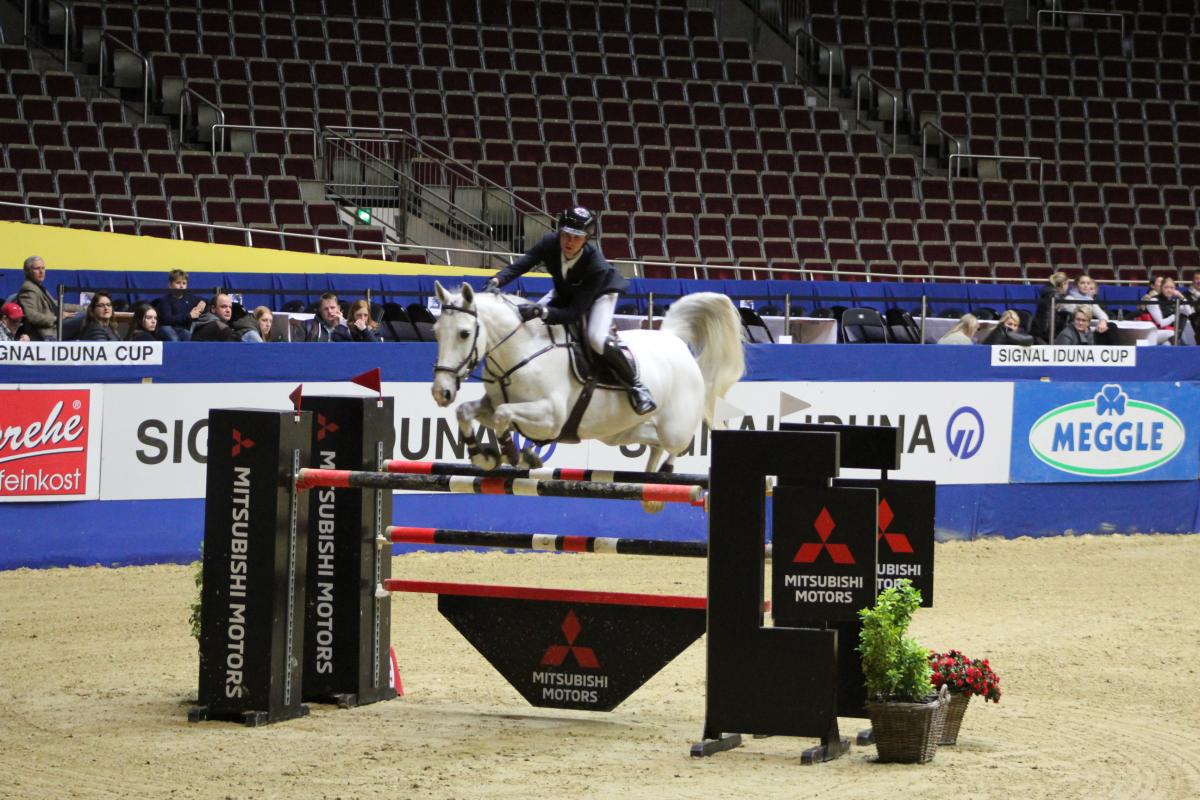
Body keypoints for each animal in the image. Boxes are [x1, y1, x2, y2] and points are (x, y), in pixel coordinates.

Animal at [432, 278, 739, 494]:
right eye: (435, 332)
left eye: (464, 333)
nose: (440, 392)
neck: (522, 352)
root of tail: (672, 337)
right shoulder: (493, 403)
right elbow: (466, 411)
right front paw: (483, 457)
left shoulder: (551, 418)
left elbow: (502, 415)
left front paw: (516, 455)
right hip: (619, 432)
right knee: (651, 442)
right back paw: (650, 480)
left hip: (675, 427)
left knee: (677, 445)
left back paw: (663, 475)